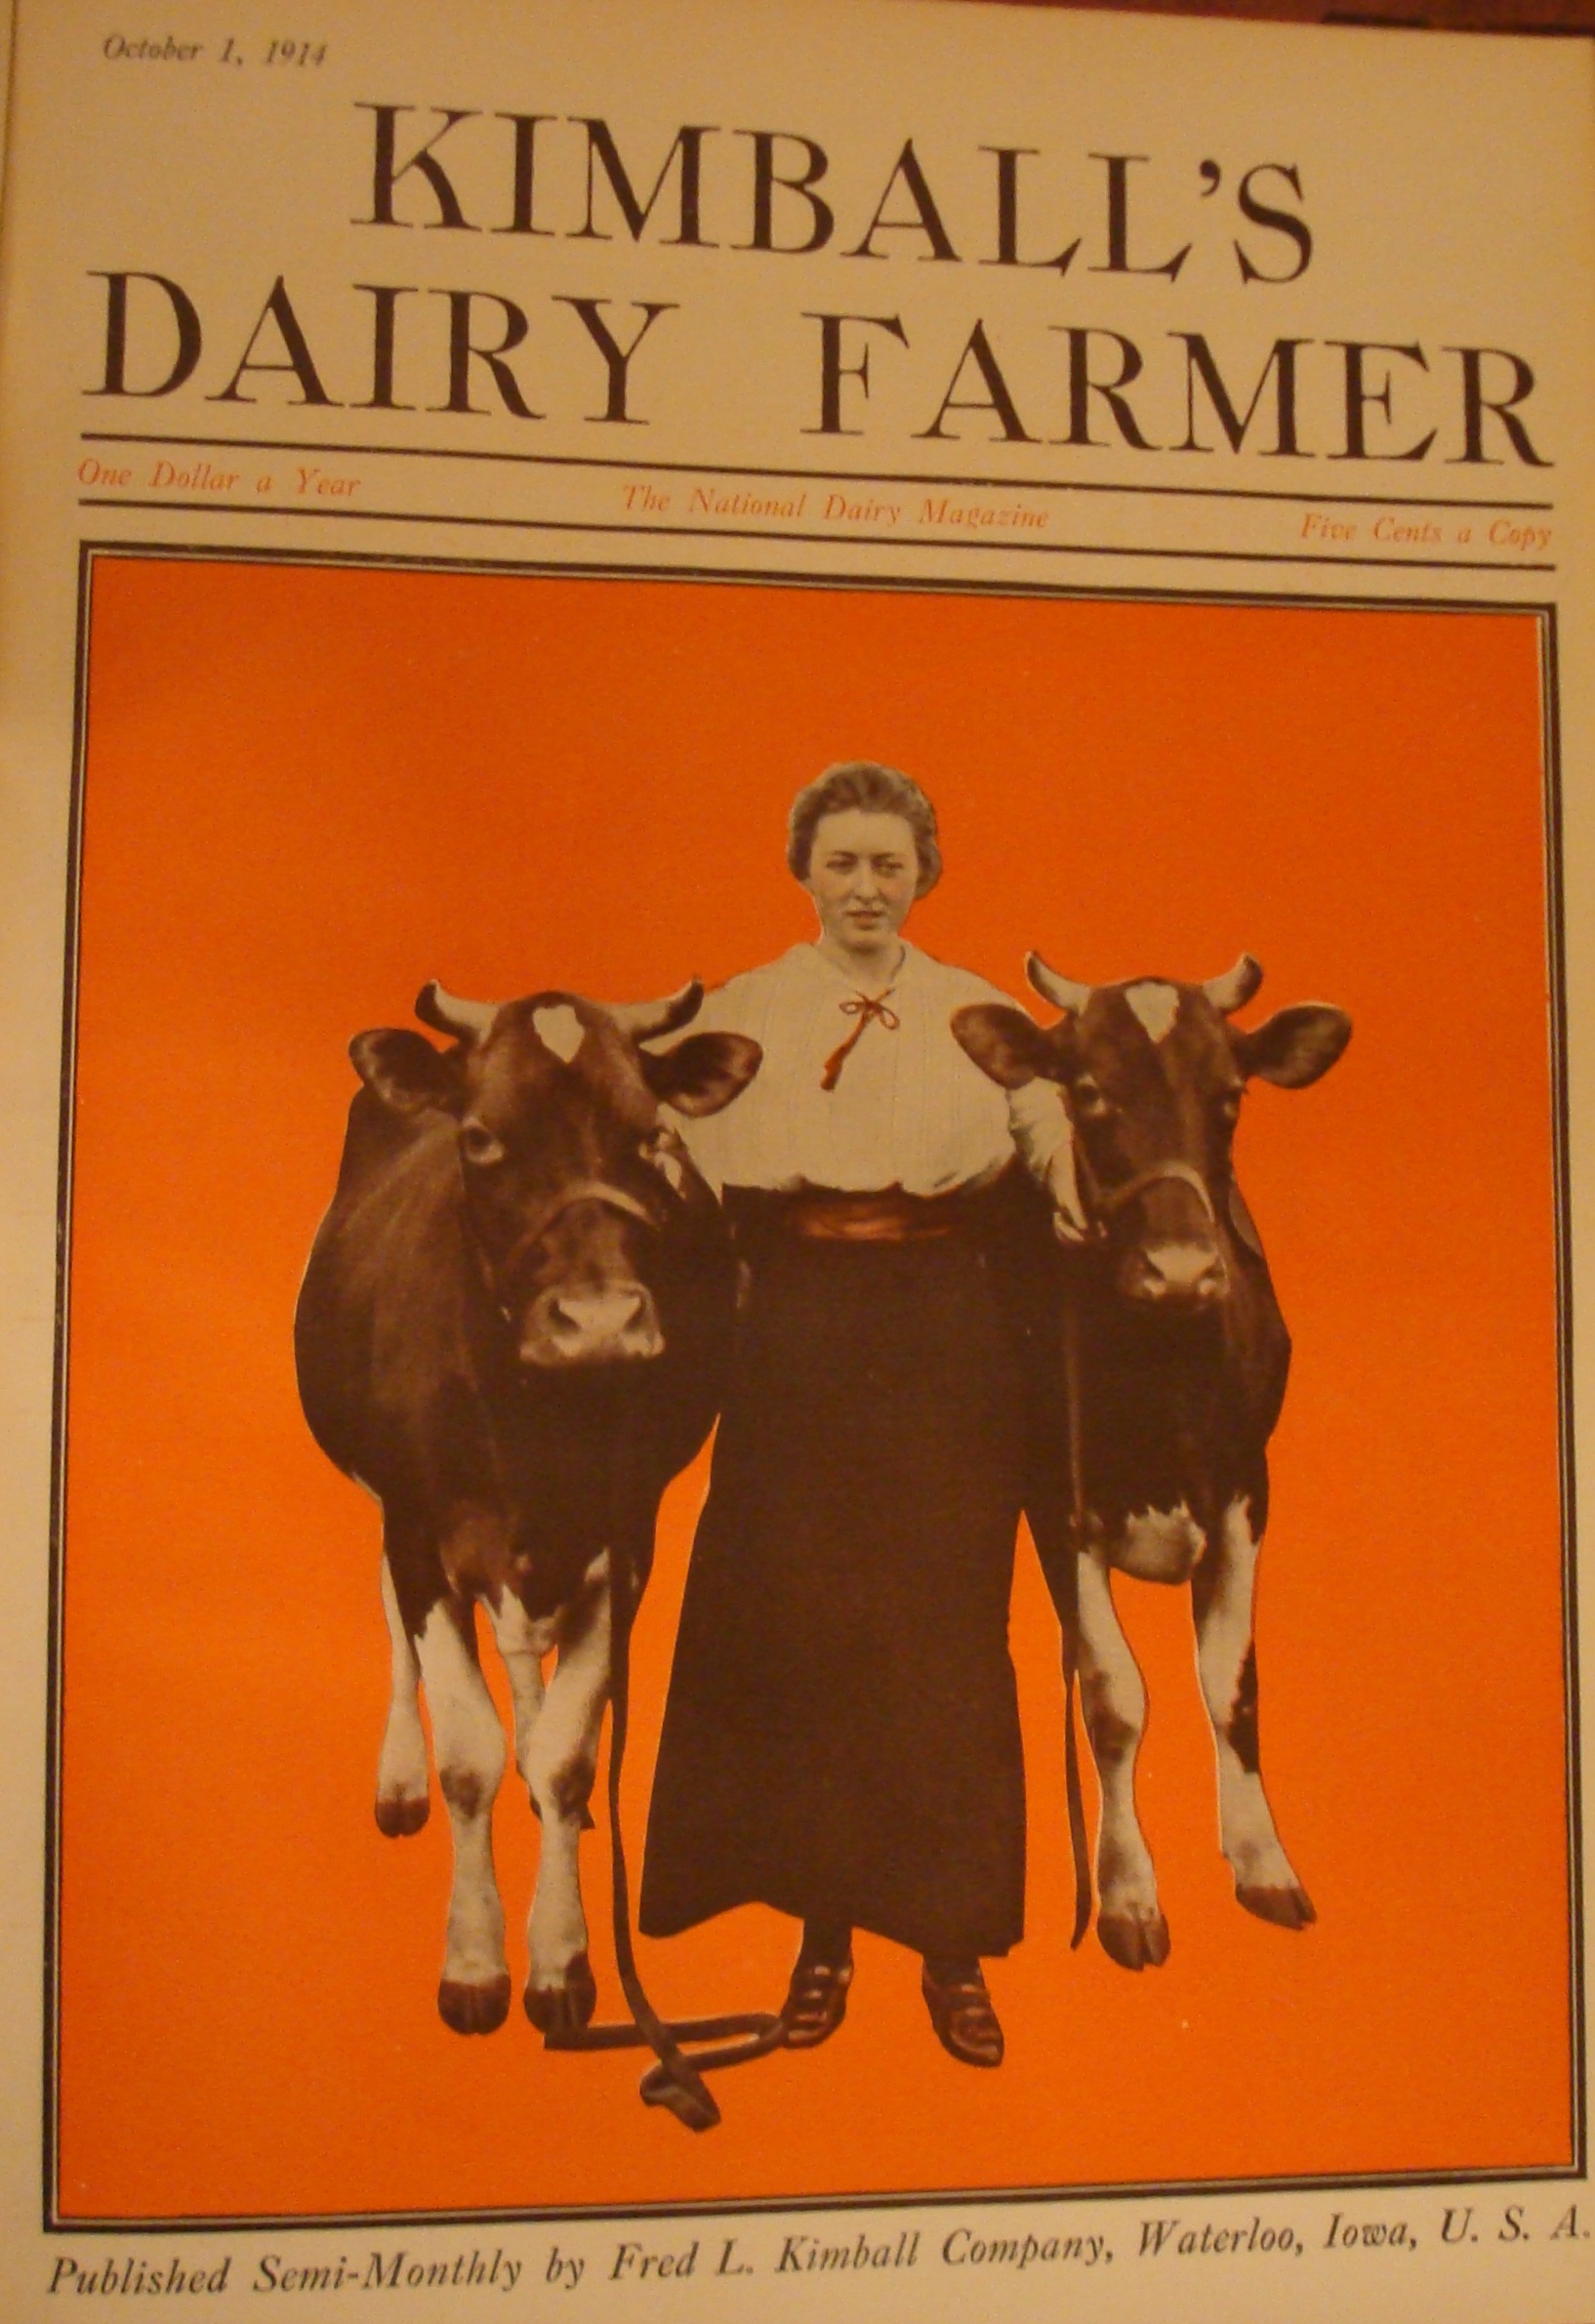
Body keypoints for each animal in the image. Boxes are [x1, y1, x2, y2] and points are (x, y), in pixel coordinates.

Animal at [295, 978, 761, 2041]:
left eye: (649, 1133)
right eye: (480, 1137)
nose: (598, 1322)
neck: (538, 1435)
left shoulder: (626, 1534)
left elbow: (567, 1755)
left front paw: (561, 1960)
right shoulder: (418, 1525)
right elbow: (467, 1751)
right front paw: (473, 1960)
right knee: (396, 1624)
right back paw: (398, 1775)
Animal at [953, 953, 1350, 1972]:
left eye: (1230, 1096)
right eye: (1089, 1090)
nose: (1178, 1268)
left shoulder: (1248, 1492)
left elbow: (1232, 1684)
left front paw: (1262, 1856)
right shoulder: (1061, 1508)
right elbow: (1113, 1697)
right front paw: (1127, 1890)